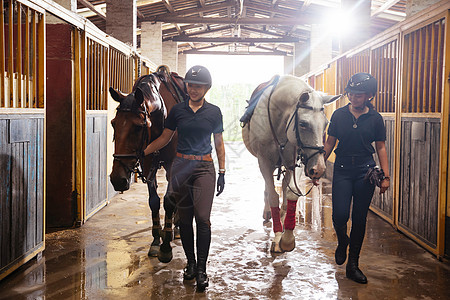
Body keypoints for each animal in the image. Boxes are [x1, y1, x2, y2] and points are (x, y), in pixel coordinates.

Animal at [109, 65, 186, 262]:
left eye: (138, 127)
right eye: (113, 124)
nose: (117, 179)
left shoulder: (174, 163)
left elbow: (169, 201)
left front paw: (166, 247)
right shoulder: (147, 162)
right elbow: (154, 201)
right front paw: (156, 240)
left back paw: (177, 228)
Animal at [243, 75, 338, 253]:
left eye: (326, 123)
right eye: (303, 124)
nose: (319, 168)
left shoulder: (296, 162)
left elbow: (291, 192)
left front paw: (286, 237)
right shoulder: (264, 161)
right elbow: (273, 195)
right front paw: (277, 236)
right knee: (269, 188)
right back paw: (269, 213)